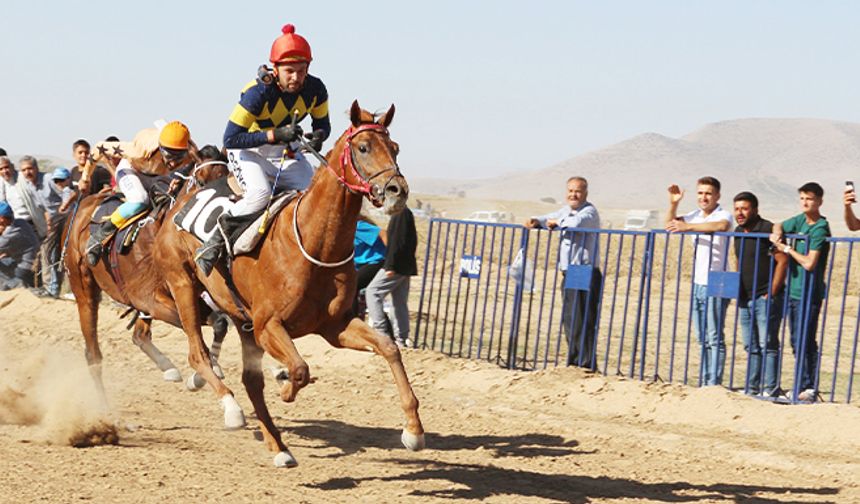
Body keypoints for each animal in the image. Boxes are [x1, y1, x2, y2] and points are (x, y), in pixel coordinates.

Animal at [63, 159, 228, 400]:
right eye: (201, 181)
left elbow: (220, 323)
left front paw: (205, 373)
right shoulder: (150, 297)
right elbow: (199, 325)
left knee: (139, 334)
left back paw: (169, 368)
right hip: (84, 288)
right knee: (93, 352)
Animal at [154, 101, 426, 468]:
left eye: (395, 148)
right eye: (363, 147)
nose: (398, 191)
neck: (316, 244)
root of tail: (177, 207)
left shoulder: (335, 325)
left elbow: (389, 347)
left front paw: (413, 430)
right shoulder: (269, 324)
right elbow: (299, 367)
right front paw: (285, 389)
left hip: (240, 316)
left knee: (250, 380)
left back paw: (279, 447)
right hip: (184, 285)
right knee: (199, 356)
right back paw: (231, 408)